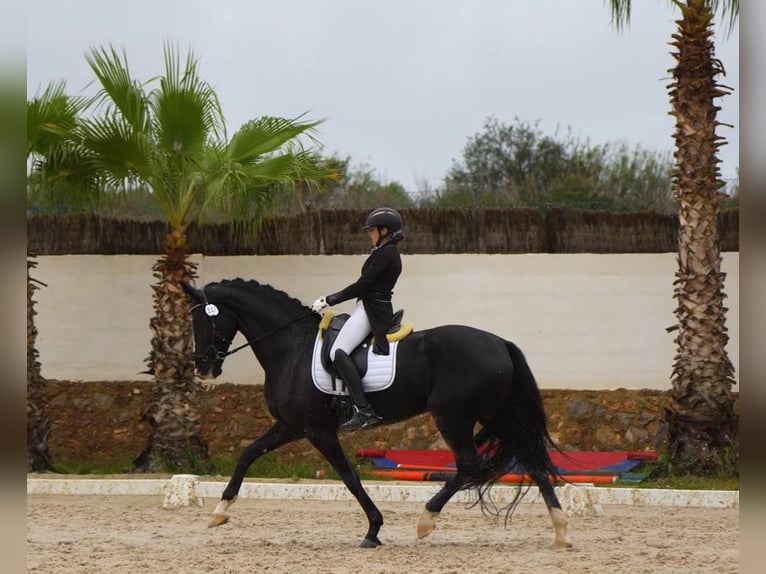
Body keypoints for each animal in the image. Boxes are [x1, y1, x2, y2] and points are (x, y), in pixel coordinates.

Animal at [181, 278, 572, 549]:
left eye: (202, 321)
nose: (203, 367)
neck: (290, 346)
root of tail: (501, 343)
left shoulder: (318, 430)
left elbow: (350, 478)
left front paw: (373, 530)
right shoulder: (291, 426)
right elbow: (247, 454)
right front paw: (219, 512)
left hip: (453, 416)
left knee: (470, 465)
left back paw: (426, 520)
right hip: (499, 416)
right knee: (532, 462)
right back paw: (560, 532)